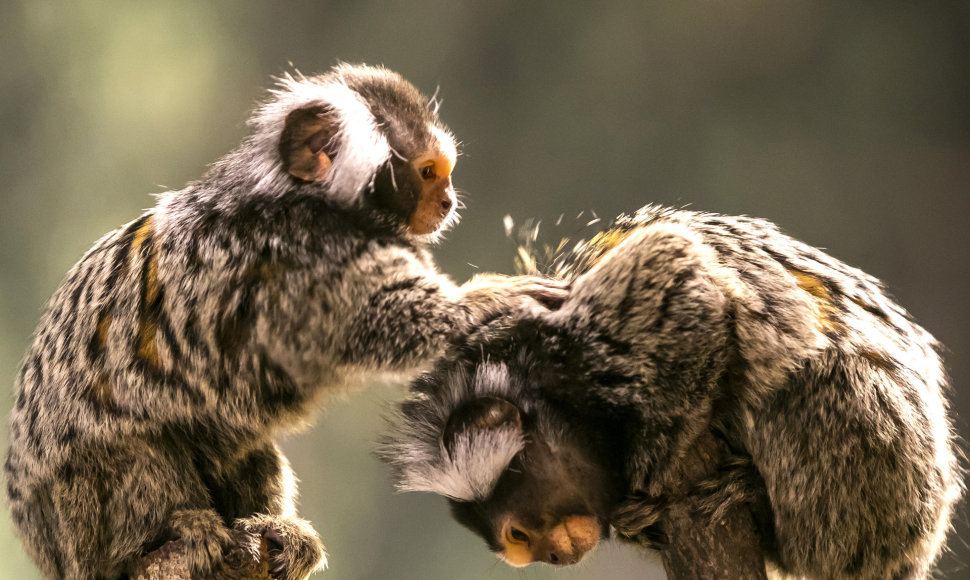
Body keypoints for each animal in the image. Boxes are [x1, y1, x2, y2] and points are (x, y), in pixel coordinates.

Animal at [5, 64, 560, 580]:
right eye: (427, 172)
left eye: (445, 174)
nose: (448, 201)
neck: (306, 202)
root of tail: (46, 549)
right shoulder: (290, 260)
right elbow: (375, 322)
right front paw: (487, 301)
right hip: (80, 515)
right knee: (136, 455)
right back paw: (168, 539)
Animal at [382, 206, 964, 576]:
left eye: (518, 536)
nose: (551, 557)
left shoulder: (575, 339)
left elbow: (680, 265)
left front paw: (650, 465)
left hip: (889, 483)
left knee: (823, 383)